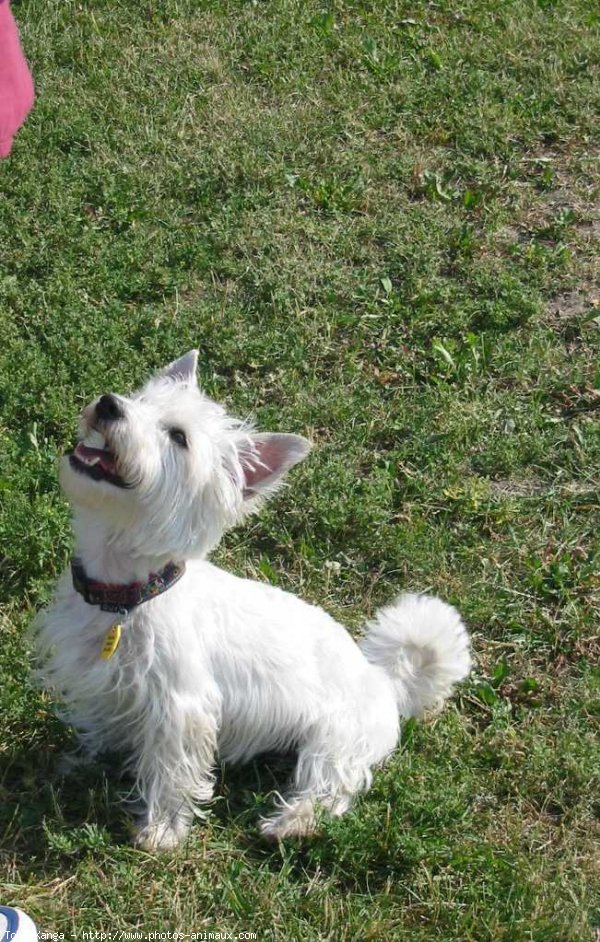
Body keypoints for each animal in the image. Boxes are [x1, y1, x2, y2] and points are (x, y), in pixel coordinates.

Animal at [34, 350, 474, 852]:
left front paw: (161, 830)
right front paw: (84, 758)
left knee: (333, 785)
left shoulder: (183, 706)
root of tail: (386, 681)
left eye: (178, 438)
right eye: (139, 399)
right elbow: (105, 720)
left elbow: (171, 771)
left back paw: (291, 822)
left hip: (337, 739)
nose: (109, 404)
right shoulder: (101, 678)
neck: (127, 594)